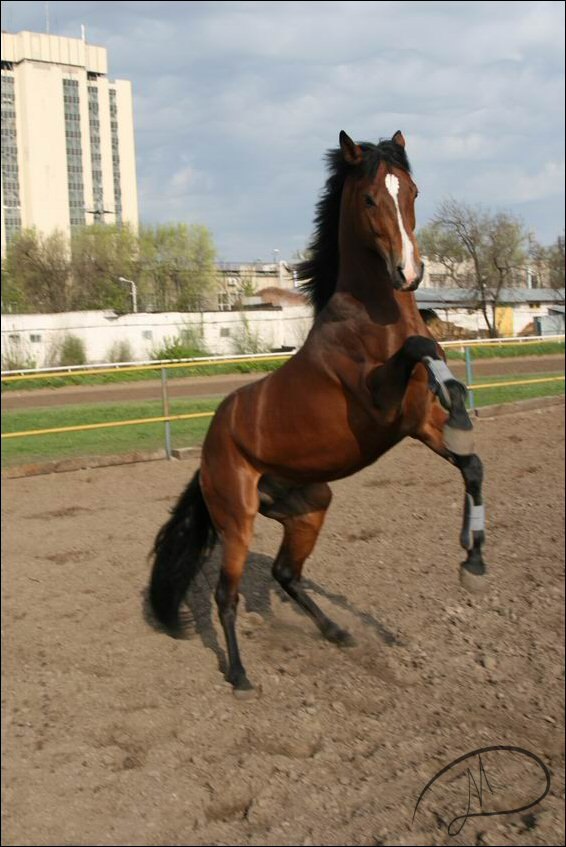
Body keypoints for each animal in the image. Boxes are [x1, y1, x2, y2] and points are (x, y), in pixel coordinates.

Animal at [150, 129, 488, 692]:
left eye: (412, 191)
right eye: (371, 198)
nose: (410, 272)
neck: (374, 320)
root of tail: (209, 449)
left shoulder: (419, 425)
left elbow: (471, 460)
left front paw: (473, 558)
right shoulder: (382, 408)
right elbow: (420, 349)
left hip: (310, 505)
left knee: (286, 574)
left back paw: (337, 632)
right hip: (237, 522)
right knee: (226, 594)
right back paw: (239, 675)